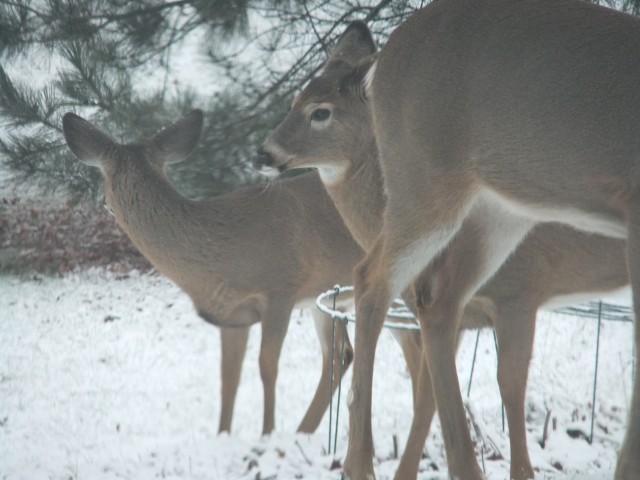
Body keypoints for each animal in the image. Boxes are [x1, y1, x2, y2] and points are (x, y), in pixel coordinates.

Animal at [61, 109, 396, 438]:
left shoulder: (281, 289)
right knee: (342, 354)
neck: (223, 253)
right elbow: (228, 377)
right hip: (329, 298)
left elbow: (267, 365)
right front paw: (223, 435)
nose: (101, 207)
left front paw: (266, 436)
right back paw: (304, 432)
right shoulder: (232, 313)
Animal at [252, 0, 636, 476]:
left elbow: (502, 385)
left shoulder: (519, 292)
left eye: (320, 111)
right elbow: (434, 391)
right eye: (295, 99)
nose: (262, 153)